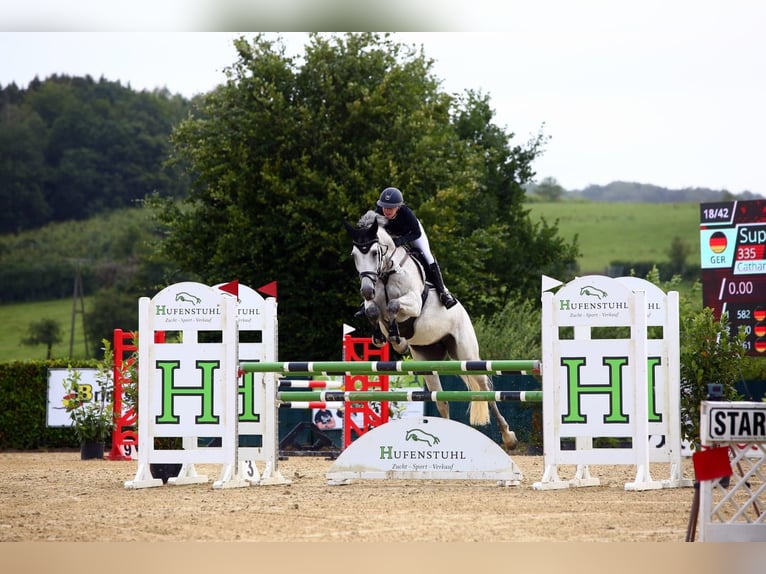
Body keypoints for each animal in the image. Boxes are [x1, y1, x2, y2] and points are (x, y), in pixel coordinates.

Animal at [344, 211, 518, 452]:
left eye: (373, 252)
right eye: (354, 255)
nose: (366, 290)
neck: (386, 275)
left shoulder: (414, 303)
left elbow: (393, 306)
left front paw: (398, 338)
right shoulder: (374, 305)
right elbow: (373, 311)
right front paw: (386, 338)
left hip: (467, 355)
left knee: (485, 391)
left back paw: (509, 438)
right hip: (427, 359)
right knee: (442, 400)